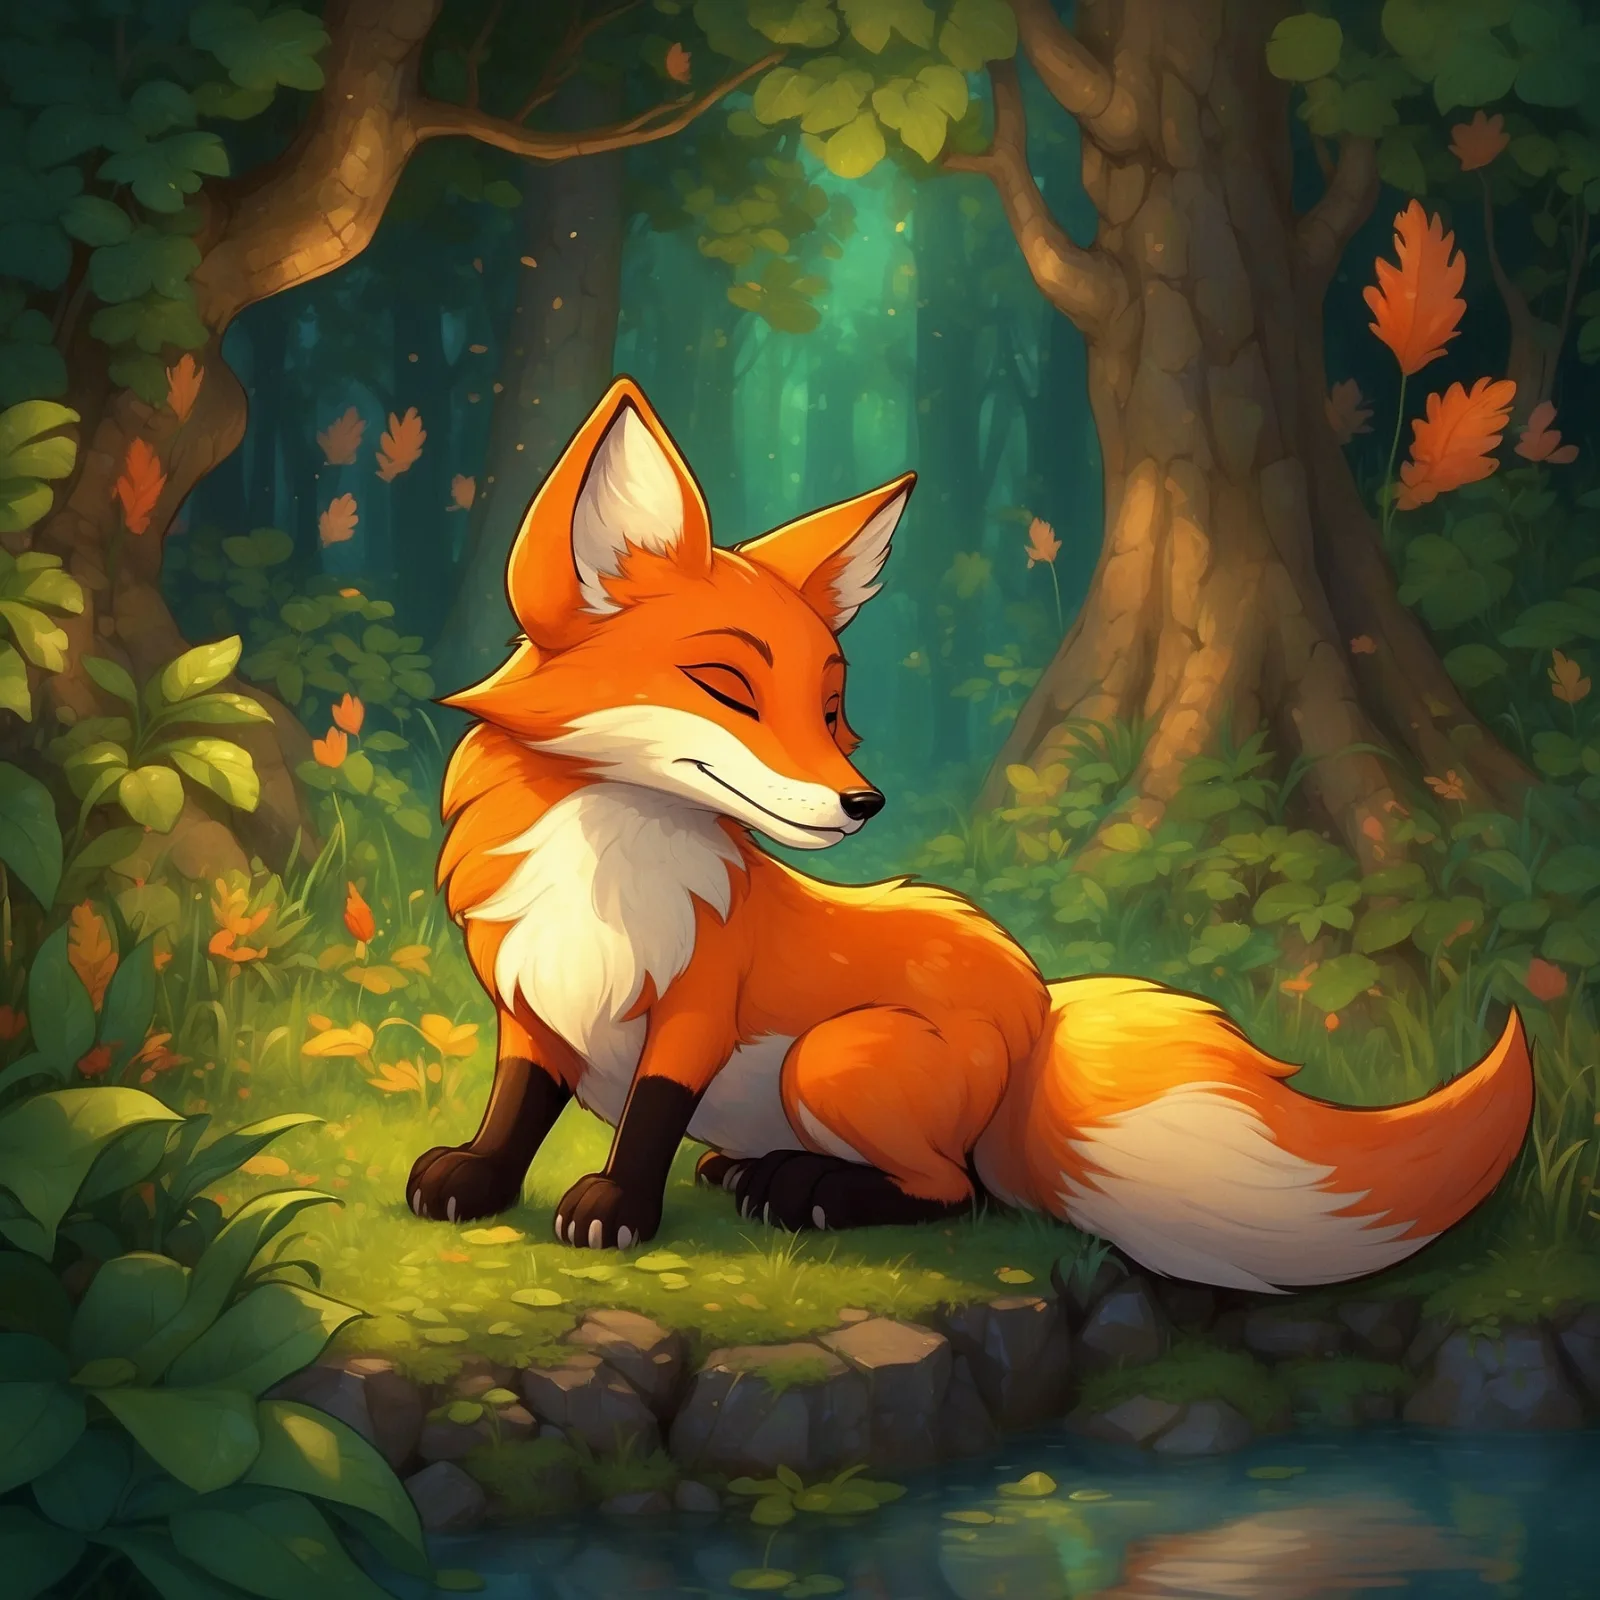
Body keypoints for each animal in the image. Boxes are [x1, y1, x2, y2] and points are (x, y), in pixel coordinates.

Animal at [407, 375, 1534, 1293]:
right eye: (726, 686)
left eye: (829, 708)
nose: (864, 804)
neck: (602, 876)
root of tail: (1037, 1006)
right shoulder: (531, 1002)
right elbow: (518, 1102)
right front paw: (477, 1176)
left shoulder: (696, 1010)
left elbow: (648, 1116)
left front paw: (616, 1209)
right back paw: (751, 1167)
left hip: (830, 1058)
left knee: (958, 1191)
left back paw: (805, 1187)